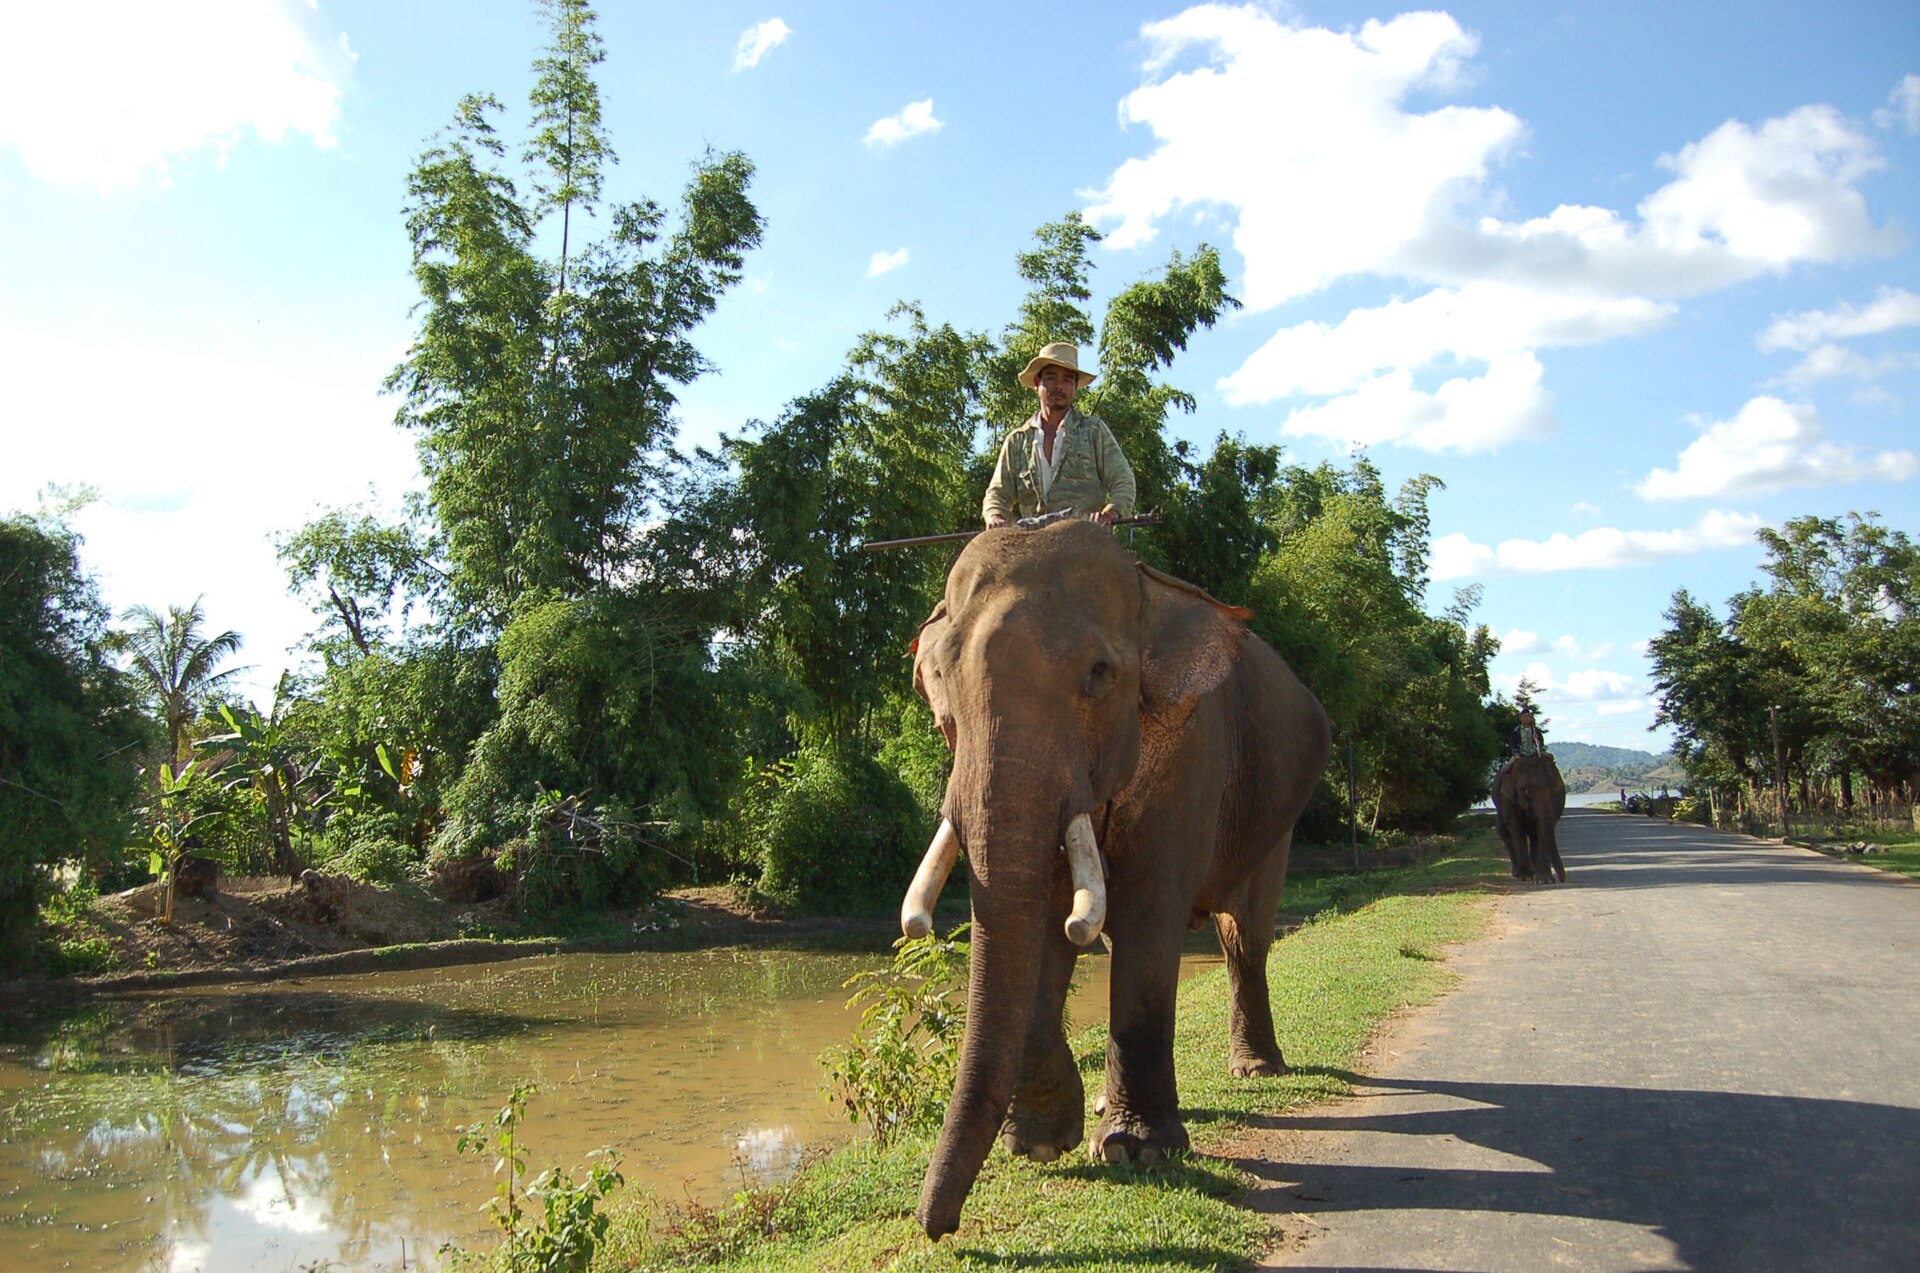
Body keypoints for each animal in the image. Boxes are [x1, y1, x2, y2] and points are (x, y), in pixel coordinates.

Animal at [899, 517, 1331, 1239]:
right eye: (937, 684)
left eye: (1099, 674)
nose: (939, 1229)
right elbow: (1047, 925)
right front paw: (1042, 1143)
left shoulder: (1192, 746)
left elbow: (1148, 914)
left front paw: (1137, 1151)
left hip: (1279, 814)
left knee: (1244, 937)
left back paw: (1256, 1070)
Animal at [1493, 754, 1567, 882]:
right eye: (1526, 792)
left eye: (1554, 792)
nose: (1562, 879)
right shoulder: (1507, 799)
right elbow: (1516, 829)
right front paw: (1526, 877)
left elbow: (1542, 829)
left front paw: (1545, 881)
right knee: (1505, 833)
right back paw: (1518, 873)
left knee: (1534, 836)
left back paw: (1535, 871)